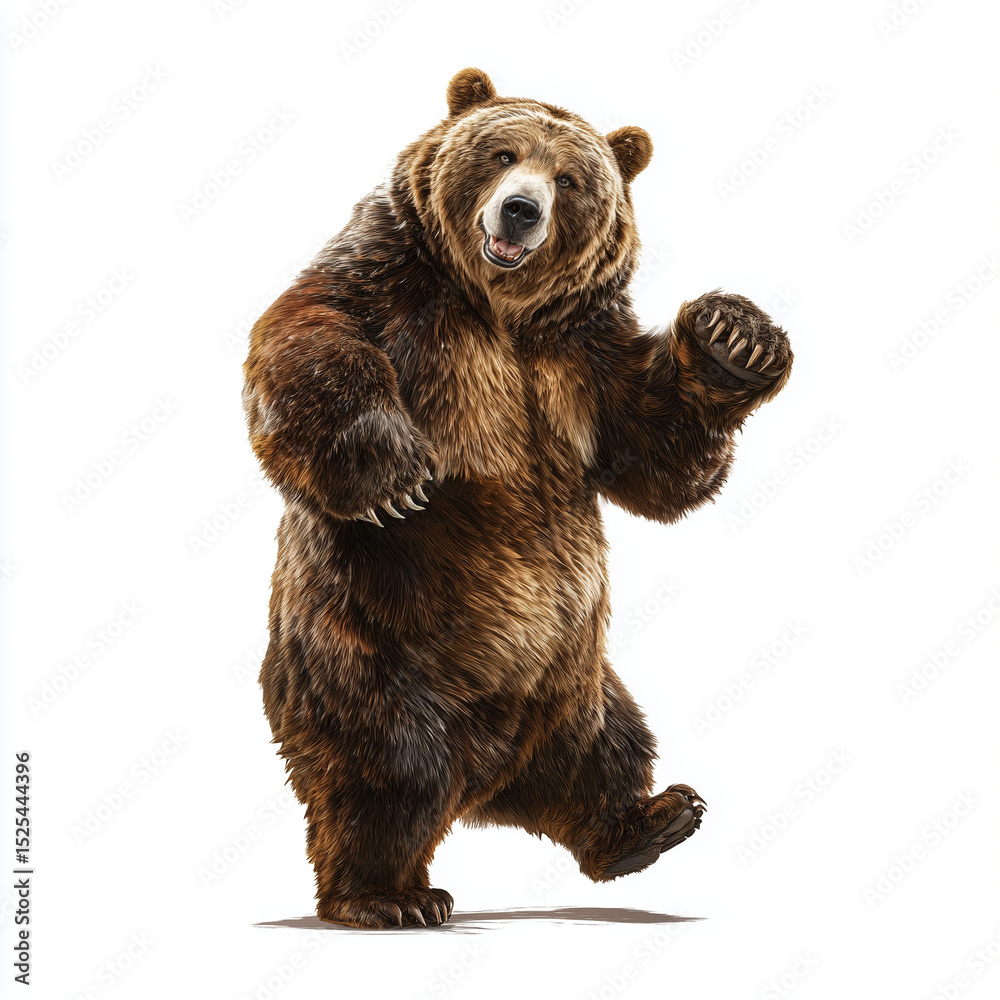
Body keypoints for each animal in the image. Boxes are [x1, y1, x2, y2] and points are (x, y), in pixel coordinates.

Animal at [243, 68, 792, 929]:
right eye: (503, 153)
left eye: (569, 179)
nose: (521, 209)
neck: (502, 310)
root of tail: (488, 783)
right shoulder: (388, 285)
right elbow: (311, 336)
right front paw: (395, 478)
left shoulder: (585, 355)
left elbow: (654, 454)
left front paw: (736, 338)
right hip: (371, 645)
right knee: (384, 770)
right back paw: (391, 896)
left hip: (578, 679)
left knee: (608, 748)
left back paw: (650, 821)